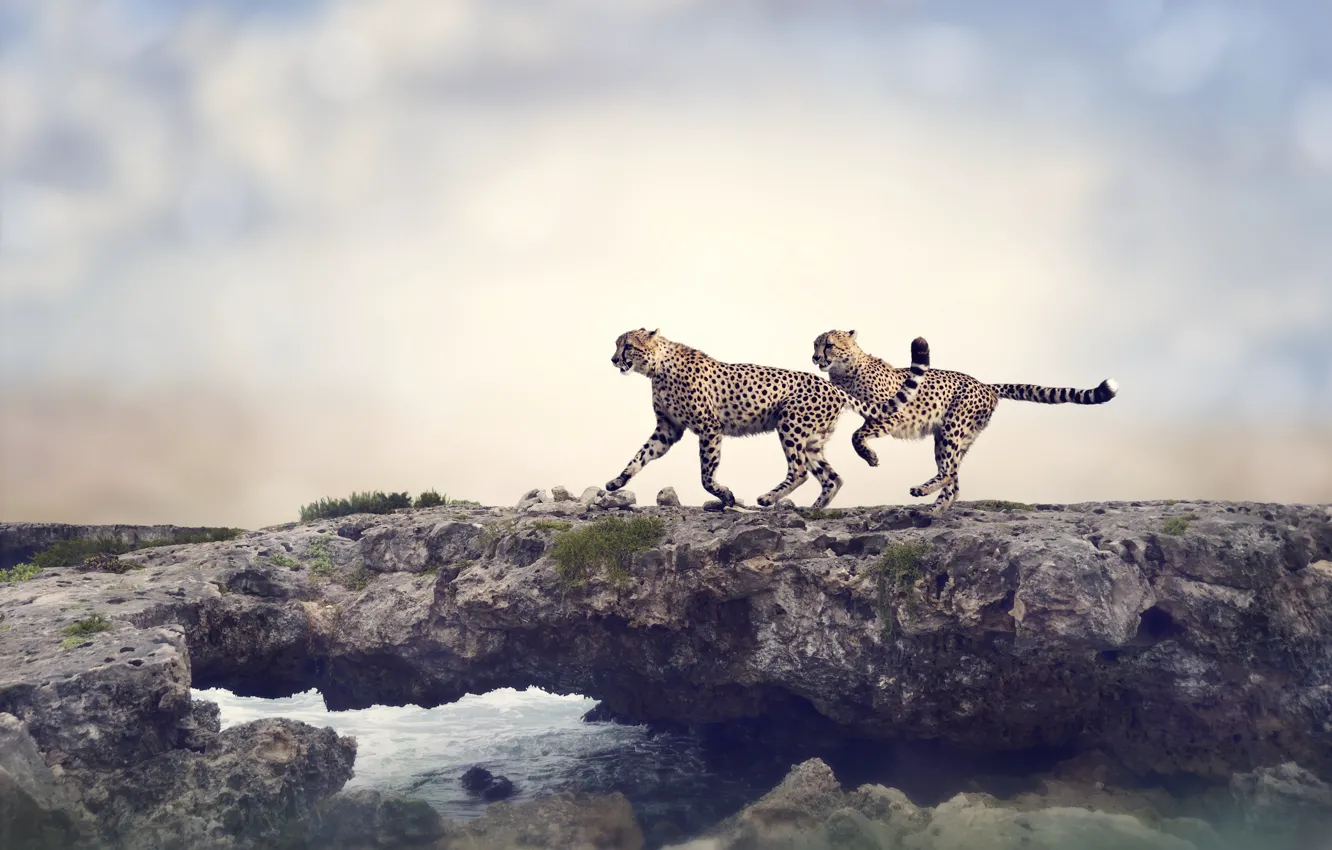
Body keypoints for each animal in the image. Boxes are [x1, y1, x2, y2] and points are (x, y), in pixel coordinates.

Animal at [607, 329, 930, 510]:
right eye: (617, 344)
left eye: (628, 346)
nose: (613, 359)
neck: (656, 367)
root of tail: (831, 385)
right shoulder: (668, 429)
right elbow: (640, 455)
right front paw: (617, 480)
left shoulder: (709, 428)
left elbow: (706, 475)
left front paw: (725, 495)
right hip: (812, 440)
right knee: (831, 477)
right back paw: (812, 508)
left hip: (790, 425)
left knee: (799, 471)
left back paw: (767, 499)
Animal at [813, 329, 1118, 514]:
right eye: (814, 345)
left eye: (829, 345)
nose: (815, 357)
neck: (847, 370)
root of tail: (984, 384)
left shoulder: (891, 413)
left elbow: (857, 435)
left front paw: (870, 456)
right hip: (949, 436)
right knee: (954, 481)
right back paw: (935, 508)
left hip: (952, 429)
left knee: (949, 472)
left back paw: (922, 491)